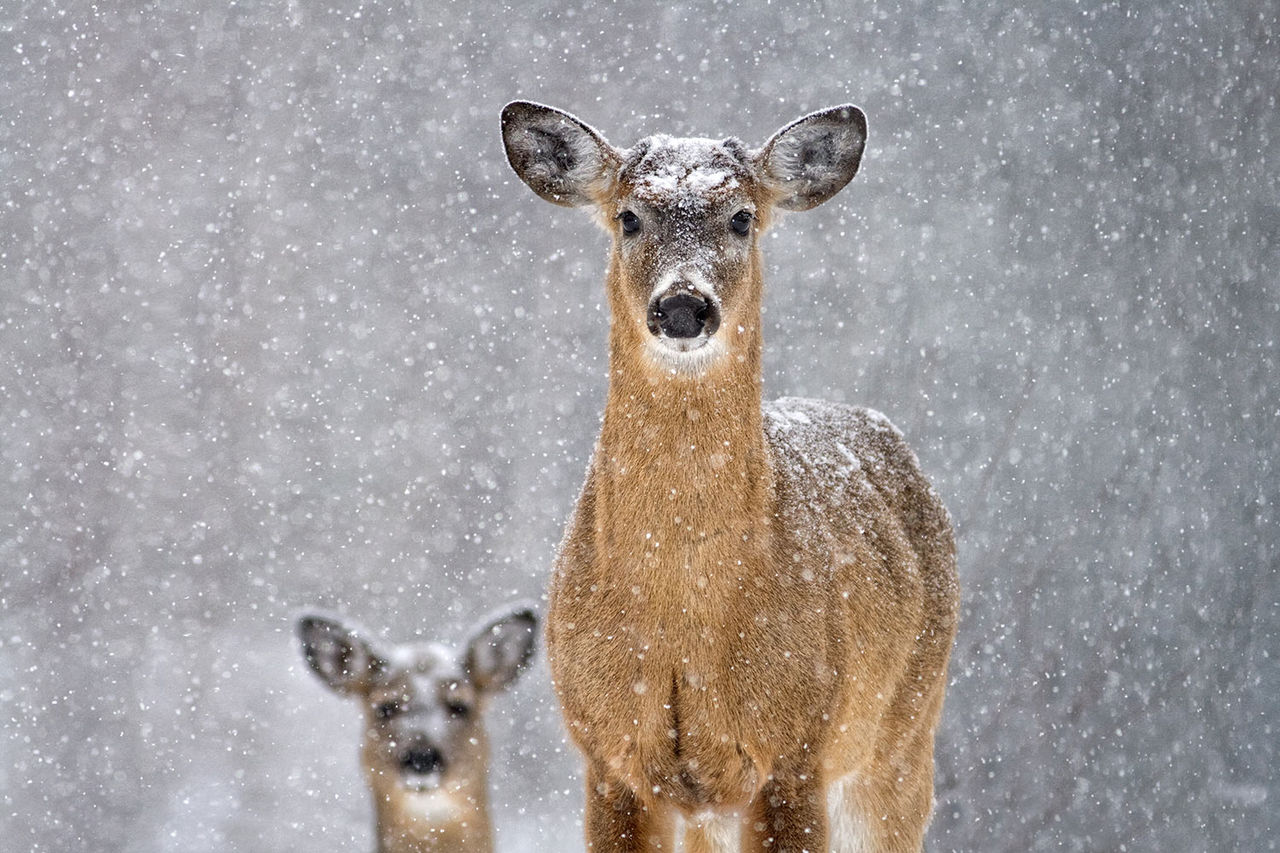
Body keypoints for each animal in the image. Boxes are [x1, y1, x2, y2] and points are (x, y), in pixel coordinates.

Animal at [500, 100, 958, 853]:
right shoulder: (607, 753)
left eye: (742, 216)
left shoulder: (797, 745)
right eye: (629, 216)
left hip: (902, 737)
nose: (684, 306)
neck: (683, 616)